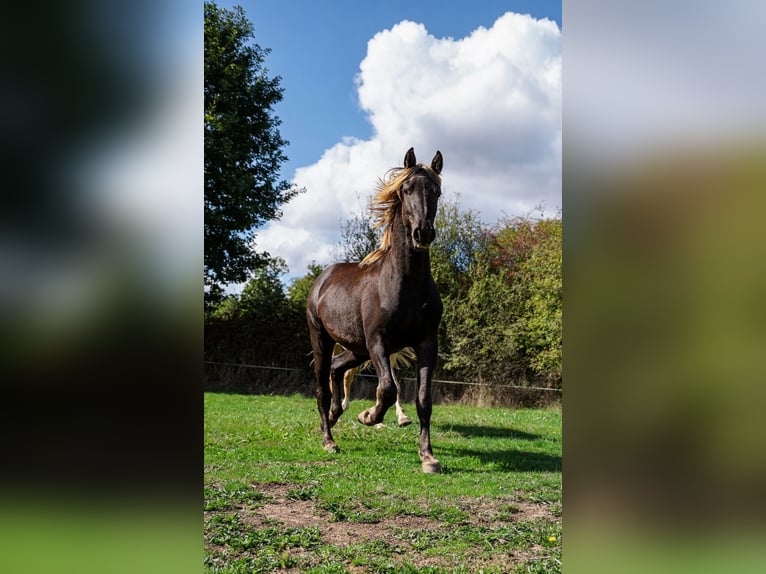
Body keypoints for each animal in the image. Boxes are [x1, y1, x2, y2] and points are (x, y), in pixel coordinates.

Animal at [306, 147, 444, 473]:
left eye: (436, 192)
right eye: (406, 189)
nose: (423, 233)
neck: (404, 285)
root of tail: (322, 277)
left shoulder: (426, 343)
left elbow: (423, 399)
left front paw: (428, 456)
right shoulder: (378, 342)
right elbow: (387, 389)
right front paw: (368, 416)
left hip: (357, 348)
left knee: (337, 369)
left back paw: (334, 417)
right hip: (323, 340)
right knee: (322, 387)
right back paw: (329, 439)